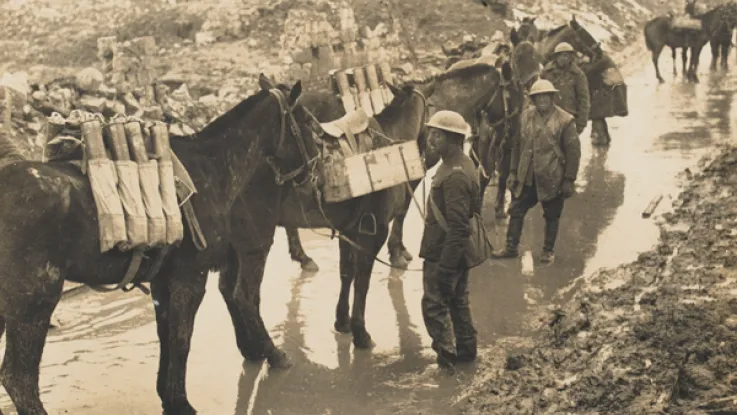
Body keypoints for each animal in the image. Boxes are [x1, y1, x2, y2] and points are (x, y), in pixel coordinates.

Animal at [0, 75, 322, 415]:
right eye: (306, 122)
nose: (314, 168)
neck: (214, 169)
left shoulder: (163, 281)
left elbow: (166, 336)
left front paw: (168, 396)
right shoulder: (190, 278)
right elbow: (182, 338)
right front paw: (181, 402)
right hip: (35, 301)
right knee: (19, 378)